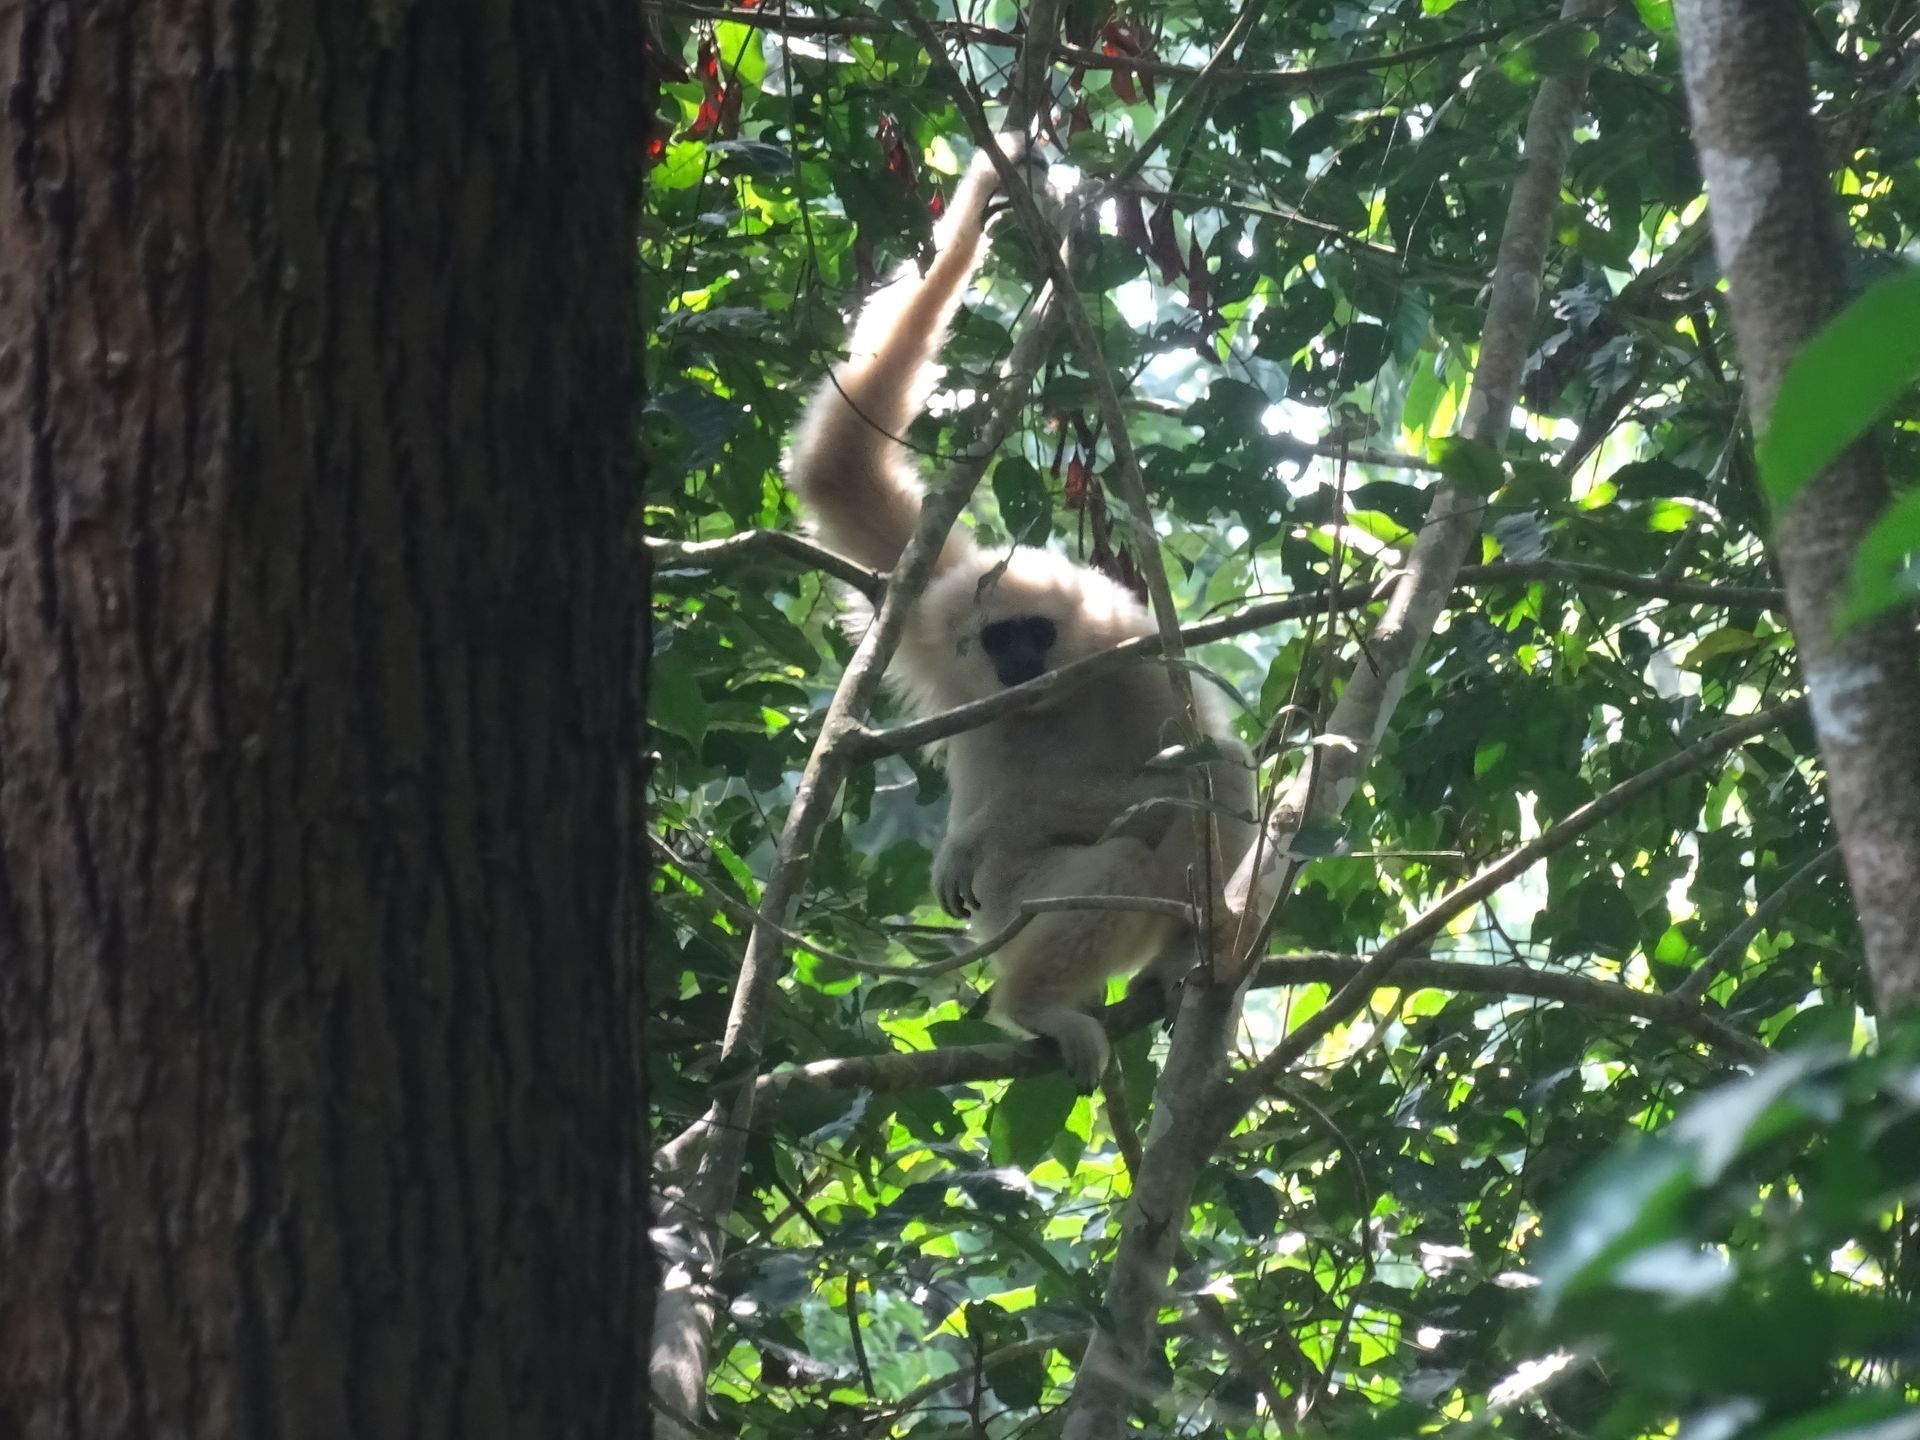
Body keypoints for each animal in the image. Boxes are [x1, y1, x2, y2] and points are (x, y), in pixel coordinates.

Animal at [785, 138, 1257, 1090]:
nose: (1017, 665)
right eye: (998, 637)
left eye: (1038, 634)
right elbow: (840, 471)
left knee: (1187, 806)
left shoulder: (1139, 660)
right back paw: (1037, 1003)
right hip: (1010, 911)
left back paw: (1144, 970)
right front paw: (989, 195)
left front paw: (980, 833)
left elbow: (1199, 769)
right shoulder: (934, 606)